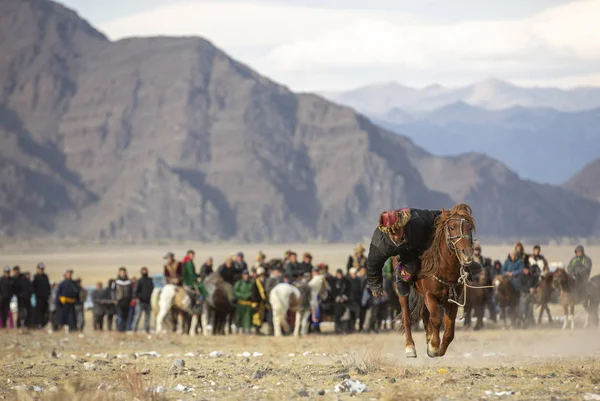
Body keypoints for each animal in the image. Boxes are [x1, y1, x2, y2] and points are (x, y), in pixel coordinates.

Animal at [396, 203, 476, 356]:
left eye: (470, 227)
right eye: (452, 227)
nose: (467, 254)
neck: (444, 269)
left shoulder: (452, 301)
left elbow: (449, 329)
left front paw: (439, 347)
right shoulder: (429, 295)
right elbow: (436, 319)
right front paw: (433, 346)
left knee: (424, 314)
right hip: (405, 287)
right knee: (407, 316)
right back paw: (410, 346)